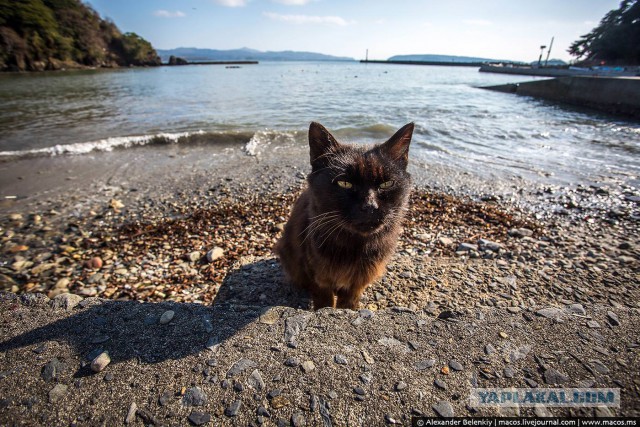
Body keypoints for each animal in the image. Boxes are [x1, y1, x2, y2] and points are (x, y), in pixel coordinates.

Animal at [276, 122, 416, 310]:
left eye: (387, 184)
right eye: (345, 184)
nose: (370, 206)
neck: (355, 246)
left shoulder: (359, 279)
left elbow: (350, 298)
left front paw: (349, 309)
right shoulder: (316, 273)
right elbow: (324, 298)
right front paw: (324, 310)